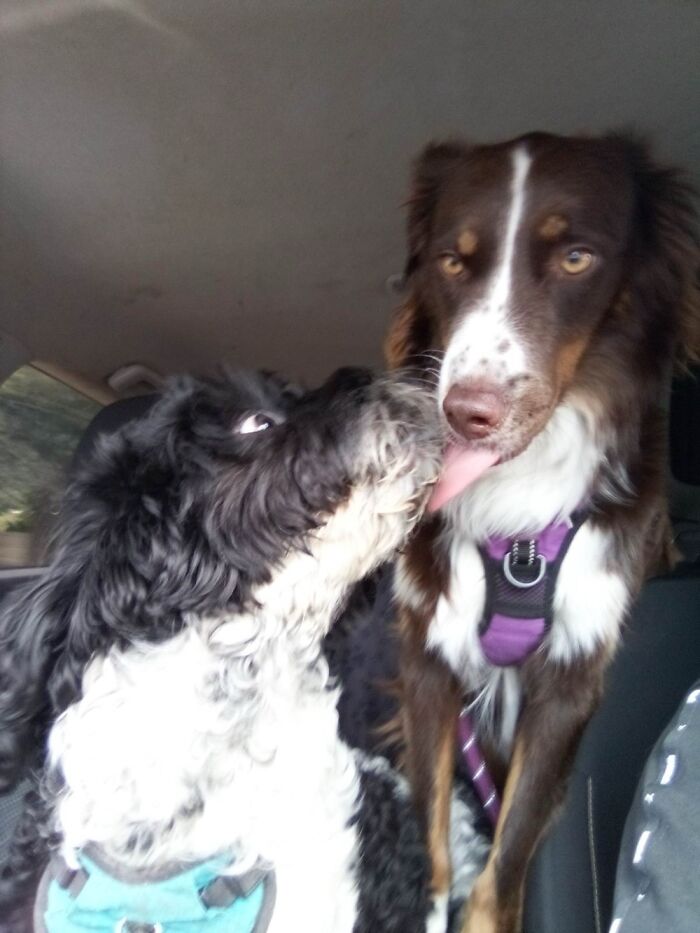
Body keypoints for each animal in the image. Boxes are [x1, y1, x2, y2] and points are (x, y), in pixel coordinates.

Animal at [386, 131, 696, 932]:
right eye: (452, 261)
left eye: (577, 258)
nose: (467, 414)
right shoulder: (428, 653)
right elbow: (431, 839)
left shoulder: (571, 676)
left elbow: (509, 853)